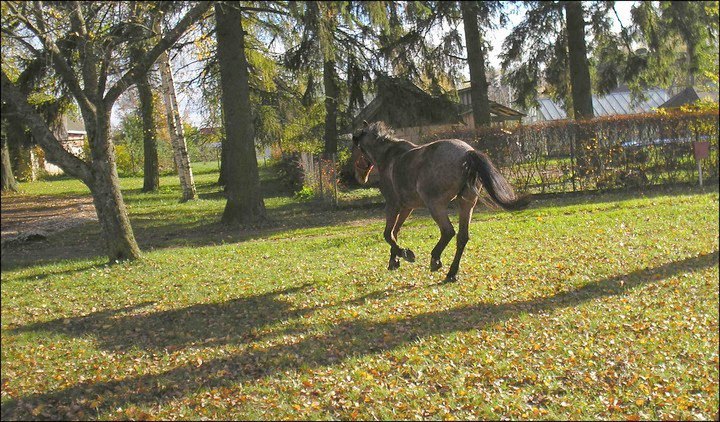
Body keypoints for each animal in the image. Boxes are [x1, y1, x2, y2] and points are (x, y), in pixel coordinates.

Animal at [352, 120, 528, 282]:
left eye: (356, 147)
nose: (358, 177)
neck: (388, 156)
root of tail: (467, 153)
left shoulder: (393, 205)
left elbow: (388, 234)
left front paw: (405, 254)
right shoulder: (407, 207)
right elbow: (395, 232)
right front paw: (394, 260)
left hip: (435, 204)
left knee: (448, 231)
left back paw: (435, 260)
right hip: (466, 203)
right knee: (462, 237)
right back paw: (451, 273)